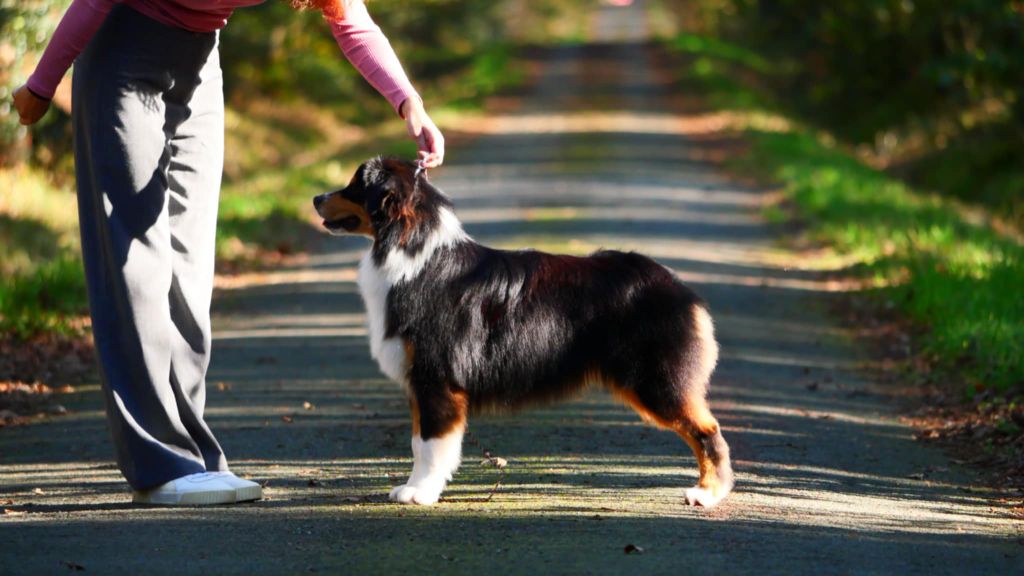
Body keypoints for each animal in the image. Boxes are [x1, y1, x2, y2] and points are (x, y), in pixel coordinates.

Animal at [313, 156, 737, 506]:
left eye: (355, 185)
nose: (316, 197)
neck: (410, 249)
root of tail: (681, 288)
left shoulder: (436, 378)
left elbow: (432, 445)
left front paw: (422, 492)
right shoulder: (422, 382)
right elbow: (419, 443)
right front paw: (415, 487)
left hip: (658, 380)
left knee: (709, 430)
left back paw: (707, 493)